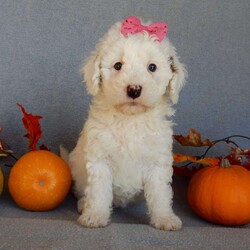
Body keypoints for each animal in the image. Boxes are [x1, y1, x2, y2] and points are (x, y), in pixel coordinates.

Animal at [68, 16, 186, 230]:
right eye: (117, 65)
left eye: (152, 67)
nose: (134, 89)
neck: (130, 119)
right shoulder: (100, 159)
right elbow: (98, 192)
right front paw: (95, 215)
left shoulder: (157, 161)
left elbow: (160, 194)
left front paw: (164, 218)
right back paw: (83, 204)